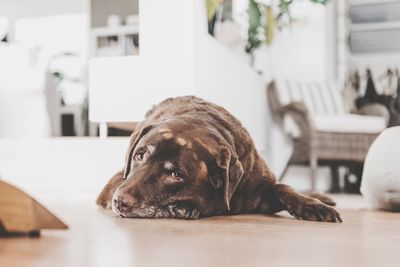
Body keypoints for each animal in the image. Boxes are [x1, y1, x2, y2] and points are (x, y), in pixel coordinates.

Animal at [96, 97, 340, 223]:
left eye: (176, 174)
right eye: (139, 155)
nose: (119, 201)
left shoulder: (261, 185)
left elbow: (284, 187)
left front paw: (313, 205)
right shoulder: (116, 181)